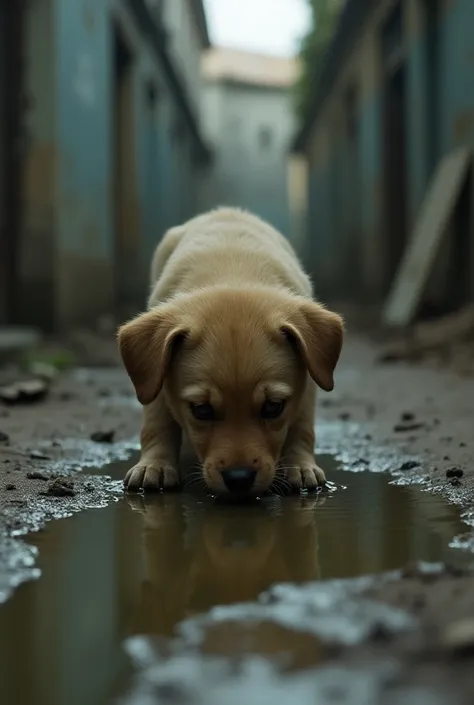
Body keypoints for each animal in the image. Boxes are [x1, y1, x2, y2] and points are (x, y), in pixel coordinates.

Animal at [116, 208, 342, 496]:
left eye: (273, 407)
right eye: (201, 410)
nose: (239, 478)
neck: (233, 273)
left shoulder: (308, 380)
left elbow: (302, 427)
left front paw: (300, 466)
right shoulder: (154, 376)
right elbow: (157, 424)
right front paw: (155, 466)